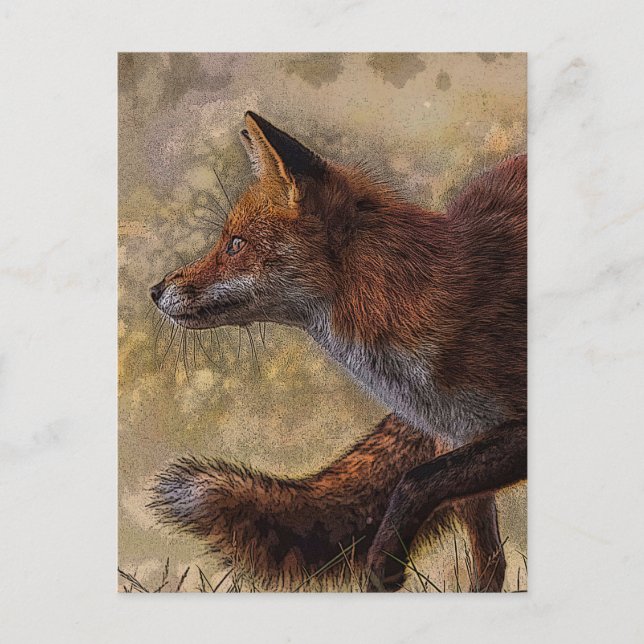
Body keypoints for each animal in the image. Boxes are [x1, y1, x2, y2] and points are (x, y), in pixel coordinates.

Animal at [150, 111, 527, 592]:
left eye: (235, 244)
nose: (155, 290)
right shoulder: (458, 437)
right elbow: (485, 561)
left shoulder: (512, 431)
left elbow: (415, 480)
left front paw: (384, 564)